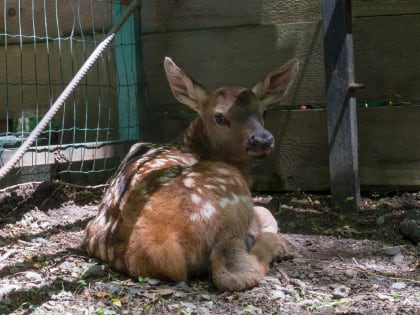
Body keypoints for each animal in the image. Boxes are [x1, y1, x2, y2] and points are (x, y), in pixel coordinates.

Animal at [83, 56, 296, 292]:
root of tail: (160, 245)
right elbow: (266, 212)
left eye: (264, 111)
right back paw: (277, 245)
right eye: (219, 116)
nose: (262, 139)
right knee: (230, 268)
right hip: (229, 188)